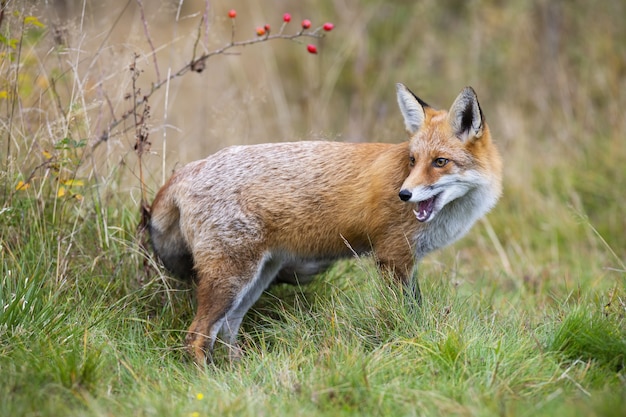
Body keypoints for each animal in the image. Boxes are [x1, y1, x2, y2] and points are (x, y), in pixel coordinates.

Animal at [149, 83, 500, 360]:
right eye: (413, 161)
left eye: (440, 162)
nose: (404, 194)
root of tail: (189, 169)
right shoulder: (394, 256)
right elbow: (404, 314)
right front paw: (408, 341)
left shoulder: (408, 260)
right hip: (232, 278)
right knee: (196, 336)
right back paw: (207, 382)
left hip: (257, 278)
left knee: (226, 331)